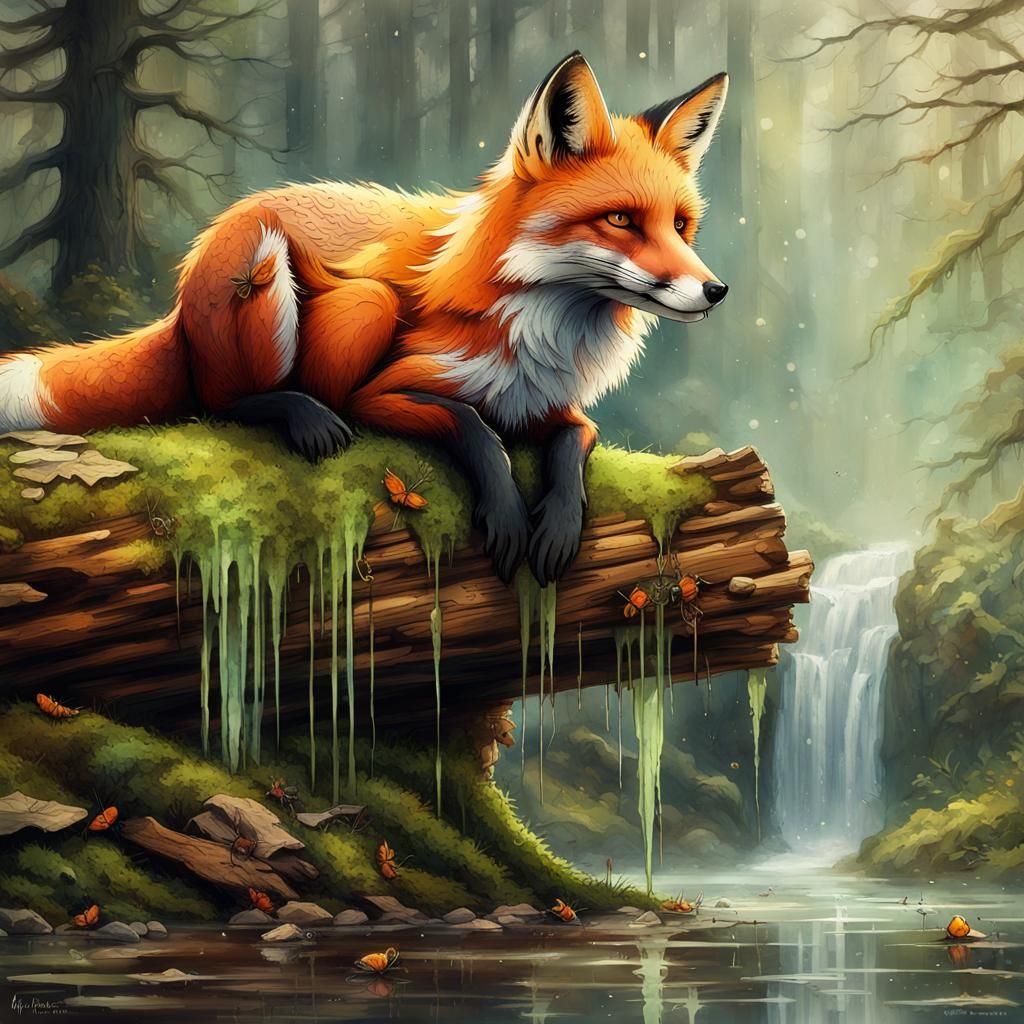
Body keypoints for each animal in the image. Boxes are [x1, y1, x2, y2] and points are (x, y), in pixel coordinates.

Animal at [0, 53, 729, 586]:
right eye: (621, 220)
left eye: (681, 226)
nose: (716, 290)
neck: (542, 333)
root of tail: (183, 292)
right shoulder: (387, 392)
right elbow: (473, 427)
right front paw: (505, 511)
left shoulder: (548, 405)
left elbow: (576, 442)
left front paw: (557, 524)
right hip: (328, 291)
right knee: (220, 400)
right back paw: (302, 414)